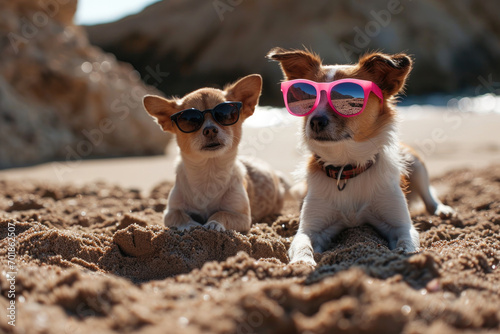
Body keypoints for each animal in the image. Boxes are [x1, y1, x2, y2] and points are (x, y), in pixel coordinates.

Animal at [143, 75, 288, 232]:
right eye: (189, 120)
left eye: (226, 115)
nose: (210, 129)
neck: (209, 172)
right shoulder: (170, 211)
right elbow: (179, 215)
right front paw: (189, 225)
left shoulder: (242, 216)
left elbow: (221, 213)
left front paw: (213, 224)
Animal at [268, 48, 456, 264]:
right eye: (309, 101)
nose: (315, 121)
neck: (347, 169)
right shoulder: (310, 228)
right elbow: (302, 244)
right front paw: (302, 262)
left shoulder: (401, 225)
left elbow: (406, 241)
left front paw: (404, 254)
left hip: (415, 162)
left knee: (429, 195)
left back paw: (442, 210)